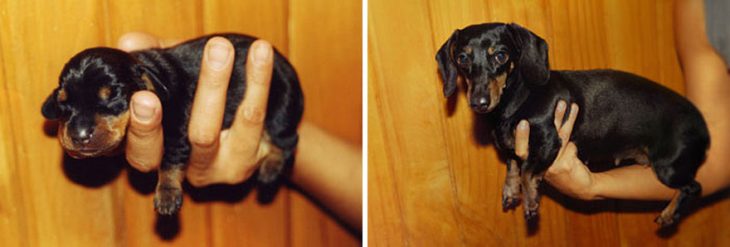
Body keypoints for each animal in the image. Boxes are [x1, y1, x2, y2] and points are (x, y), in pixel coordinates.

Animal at [42, 33, 304, 215]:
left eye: (113, 95)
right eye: (63, 103)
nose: (79, 136)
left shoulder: (177, 127)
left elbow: (170, 161)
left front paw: (167, 195)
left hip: (281, 105)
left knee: (288, 139)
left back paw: (270, 170)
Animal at [436, 23, 708, 226]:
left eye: (501, 55)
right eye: (462, 58)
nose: (478, 103)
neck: (518, 98)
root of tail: (701, 124)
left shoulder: (549, 141)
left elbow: (526, 171)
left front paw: (530, 201)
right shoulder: (513, 148)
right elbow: (513, 166)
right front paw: (511, 192)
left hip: (669, 168)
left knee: (694, 187)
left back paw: (668, 214)